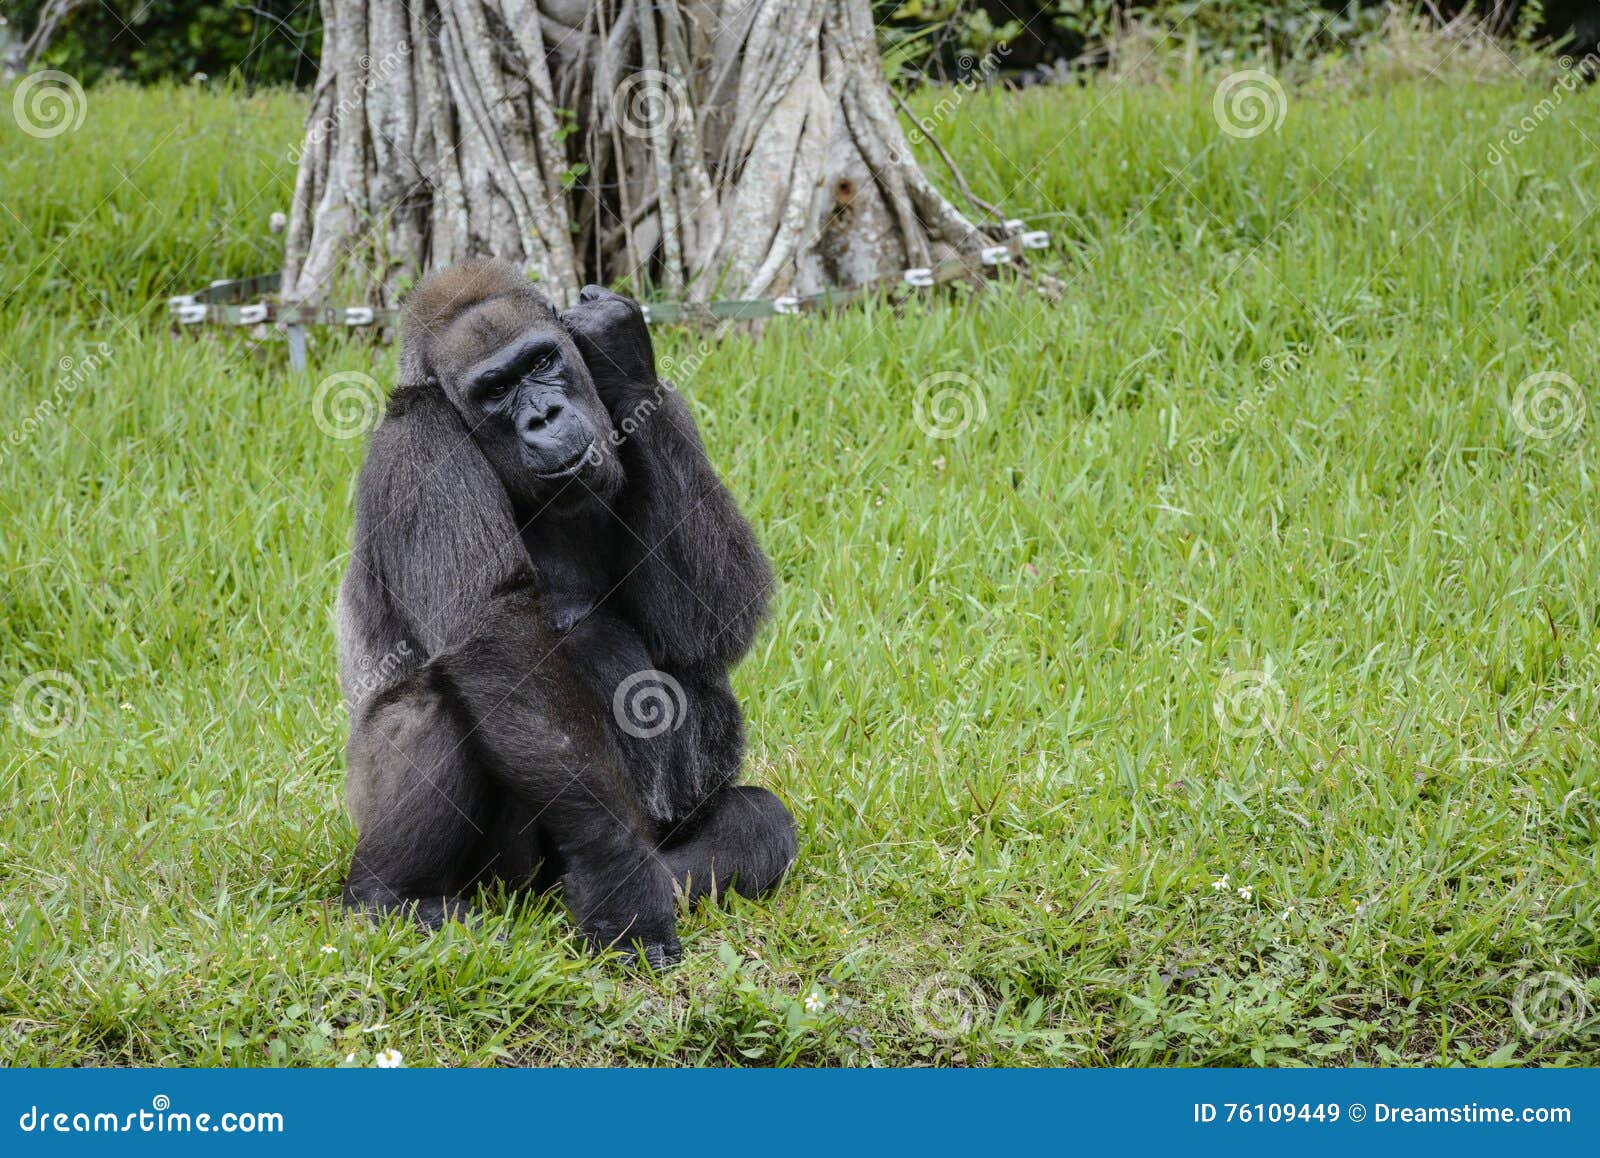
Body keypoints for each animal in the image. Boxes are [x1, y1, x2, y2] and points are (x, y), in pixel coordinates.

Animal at [332, 262, 793, 966]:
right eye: (496, 390)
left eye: (542, 362)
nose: (544, 415)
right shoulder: (421, 445)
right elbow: (492, 633)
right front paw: (620, 882)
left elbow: (709, 624)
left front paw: (617, 349)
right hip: (488, 871)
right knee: (441, 698)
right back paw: (391, 897)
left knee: (759, 815)